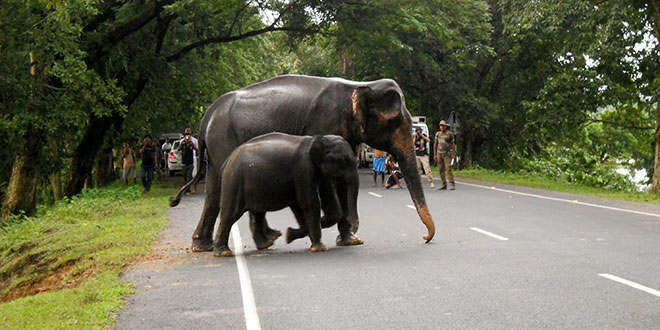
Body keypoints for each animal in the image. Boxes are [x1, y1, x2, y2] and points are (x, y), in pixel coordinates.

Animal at [215, 133, 360, 256]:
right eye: (344, 161)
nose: (353, 227)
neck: (317, 139)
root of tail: (226, 162)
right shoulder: (303, 170)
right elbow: (309, 203)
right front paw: (319, 248)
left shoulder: (317, 172)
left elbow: (328, 208)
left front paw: (289, 234)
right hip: (234, 182)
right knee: (230, 214)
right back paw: (224, 253)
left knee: (258, 212)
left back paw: (266, 243)